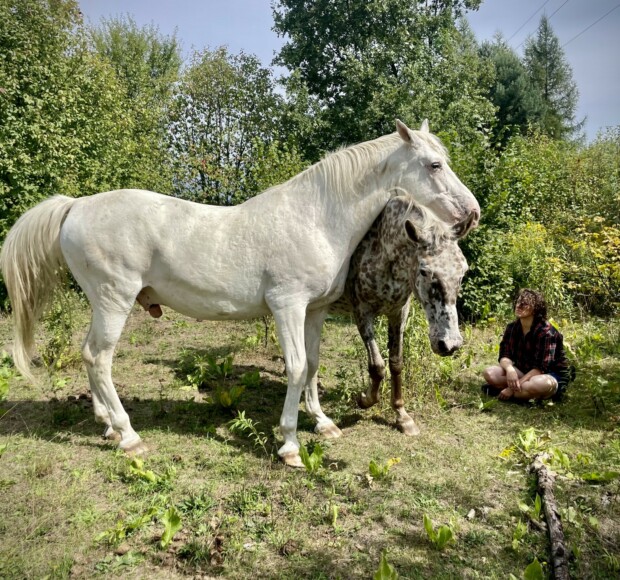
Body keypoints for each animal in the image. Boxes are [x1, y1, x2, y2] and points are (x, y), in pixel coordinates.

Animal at [330, 195, 470, 436]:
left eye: (463, 271)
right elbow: (377, 366)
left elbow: (396, 363)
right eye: (424, 271)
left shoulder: (398, 313)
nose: (449, 344)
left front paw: (402, 416)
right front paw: (365, 399)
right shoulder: (362, 312)